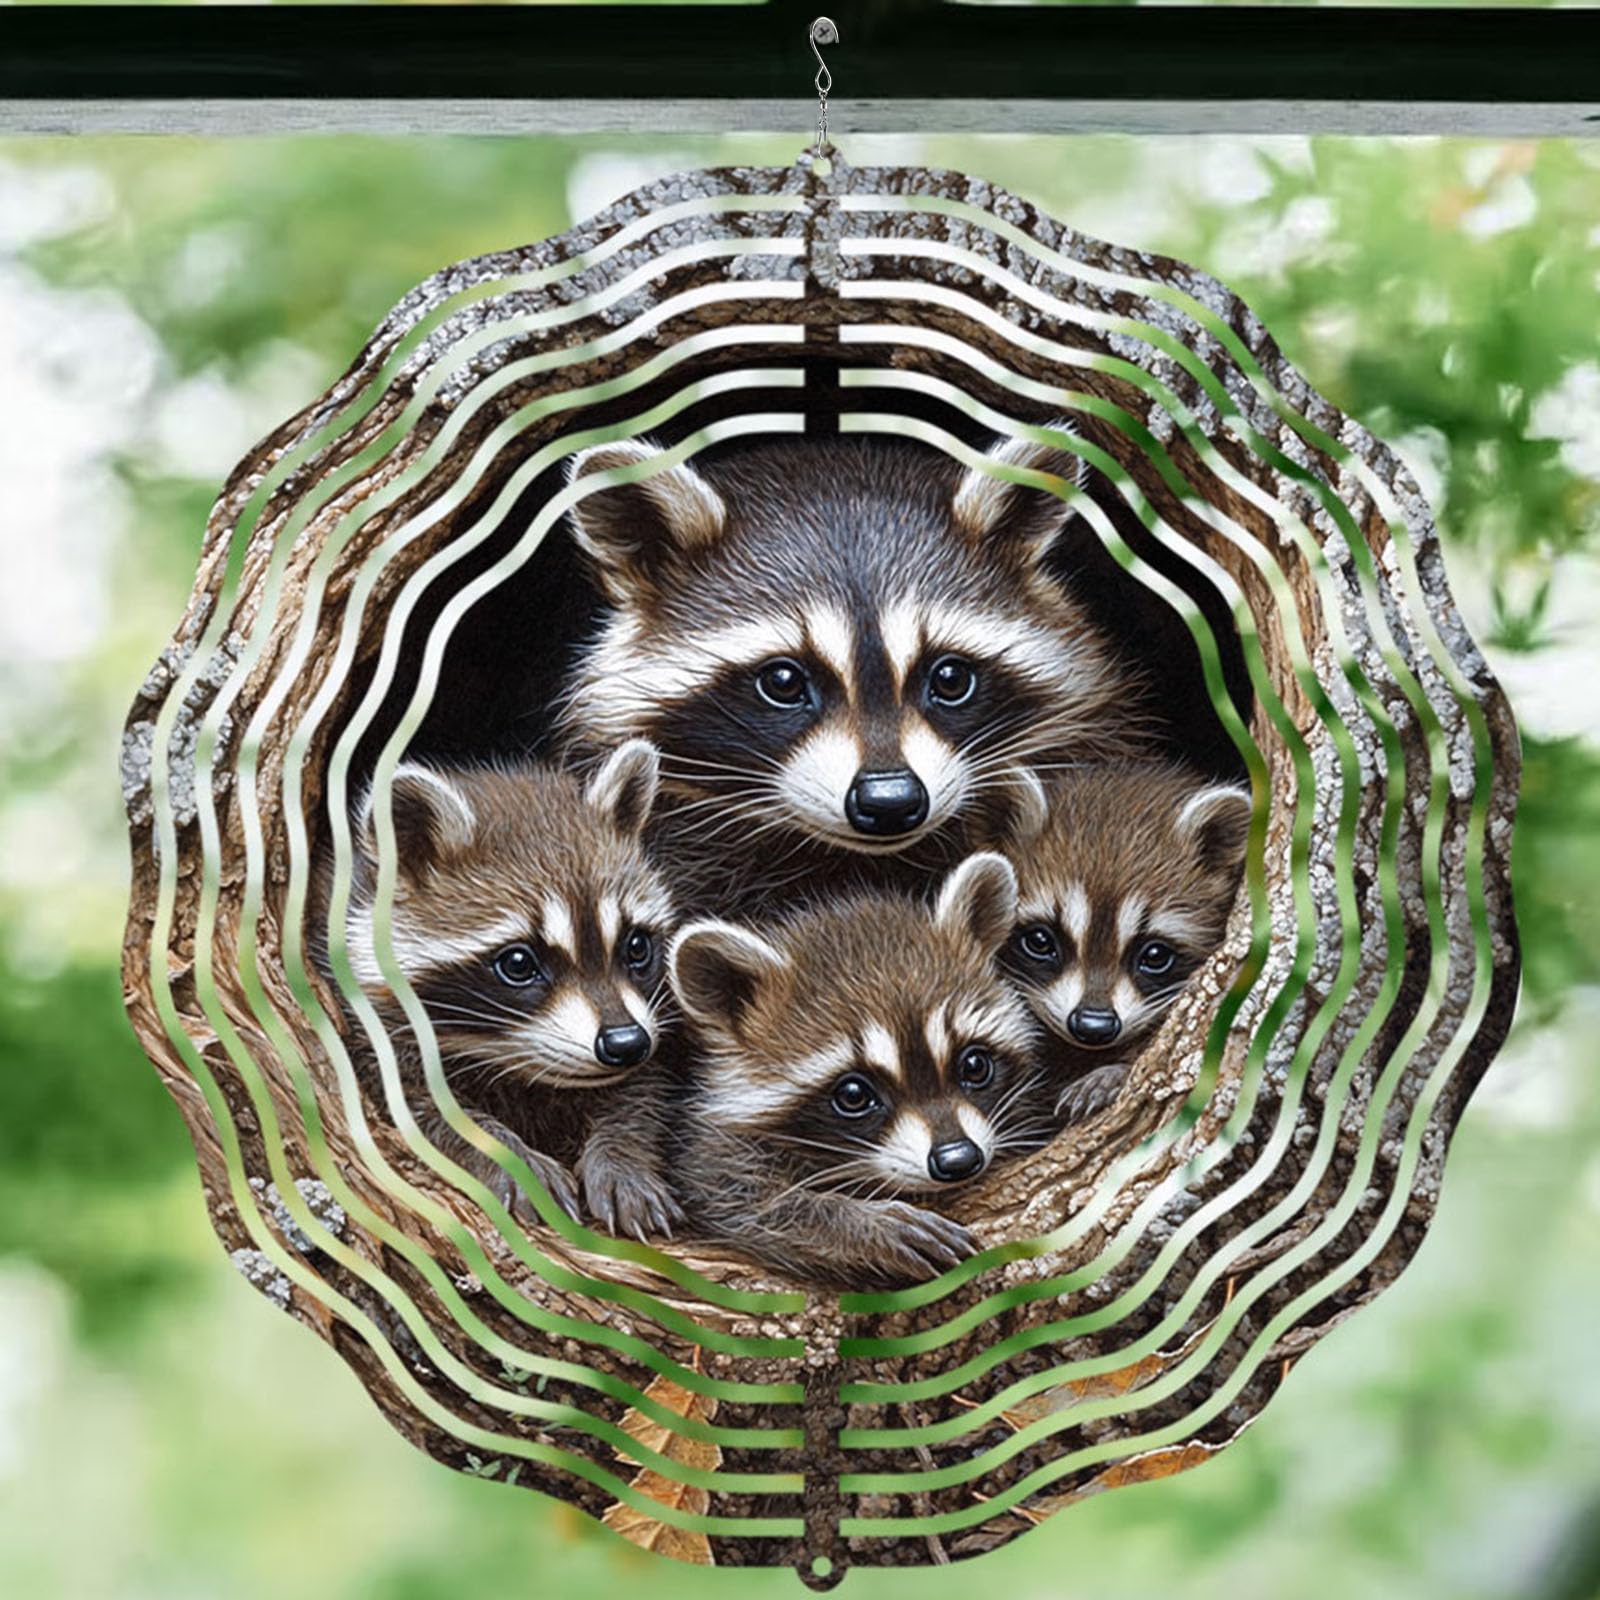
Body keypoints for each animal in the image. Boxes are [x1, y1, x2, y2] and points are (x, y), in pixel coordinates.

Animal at [327, 740, 683, 1241]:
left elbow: (641, 1091)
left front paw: (622, 1158)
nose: (625, 1043)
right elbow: (419, 1107)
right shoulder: (368, 1028)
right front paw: (511, 1156)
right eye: (518, 963)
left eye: (636, 947)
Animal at [666, 854, 1050, 1290]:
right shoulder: (713, 1143)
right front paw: (861, 1225)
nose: (958, 1159)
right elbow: (740, 1198)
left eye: (974, 1064)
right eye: (854, 1095)